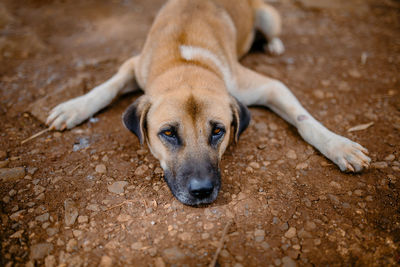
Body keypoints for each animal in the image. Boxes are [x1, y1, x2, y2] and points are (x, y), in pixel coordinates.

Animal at [45, 0, 370, 207]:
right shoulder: (135, 64)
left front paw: (339, 146)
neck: (186, 63)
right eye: (168, 133)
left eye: (218, 131)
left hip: (269, 16)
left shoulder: (268, 86)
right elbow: (106, 87)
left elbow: (304, 120)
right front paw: (73, 107)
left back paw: (273, 45)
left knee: (272, 32)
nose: (201, 191)